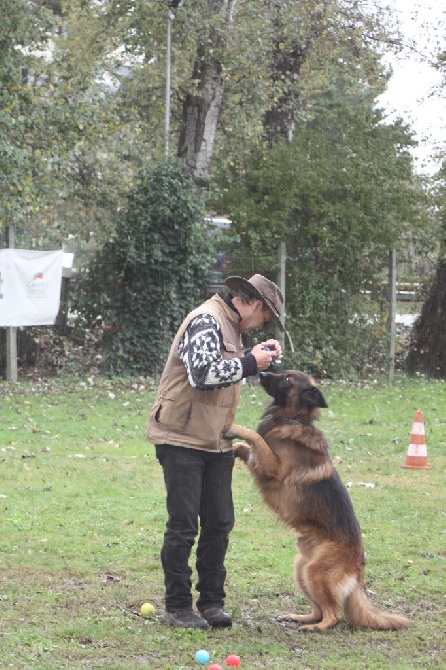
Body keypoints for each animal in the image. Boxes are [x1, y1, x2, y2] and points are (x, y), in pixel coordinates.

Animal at [228, 372, 410, 636]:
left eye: (287, 379)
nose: (261, 373)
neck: (293, 419)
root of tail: (359, 566)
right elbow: (246, 446)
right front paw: (232, 448)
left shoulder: (273, 468)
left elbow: (256, 438)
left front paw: (235, 428)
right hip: (301, 568)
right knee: (319, 610)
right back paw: (300, 618)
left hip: (315, 572)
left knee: (332, 615)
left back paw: (315, 627)